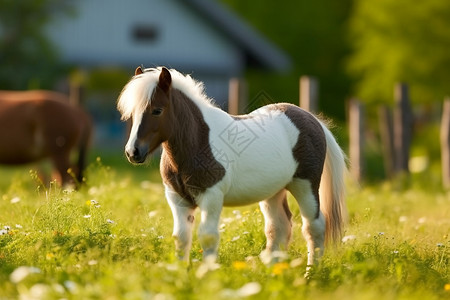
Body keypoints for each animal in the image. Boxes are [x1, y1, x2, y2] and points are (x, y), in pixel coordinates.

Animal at [117, 66, 348, 268]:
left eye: (157, 110)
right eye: (133, 112)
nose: (133, 152)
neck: (199, 140)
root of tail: (313, 120)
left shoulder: (211, 196)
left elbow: (208, 237)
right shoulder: (177, 199)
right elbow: (181, 239)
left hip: (306, 186)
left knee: (314, 227)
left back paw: (311, 274)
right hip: (273, 193)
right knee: (279, 227)